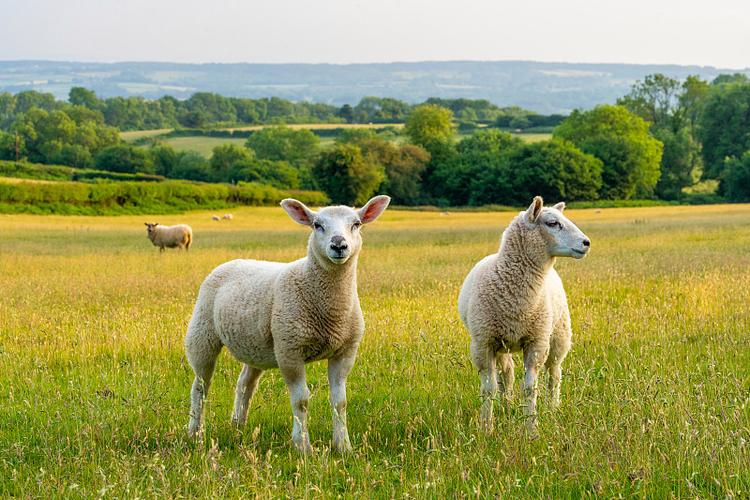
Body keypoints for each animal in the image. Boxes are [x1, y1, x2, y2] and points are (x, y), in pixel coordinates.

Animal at [187, 194, 394, 454]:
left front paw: (343, 446)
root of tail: (231, 262)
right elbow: (301, 400)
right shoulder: (289, 350)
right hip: (202, 332)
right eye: (317, 225)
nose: (339, 245)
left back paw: (238, 427)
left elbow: (340, 402)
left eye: (356, 224)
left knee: (245, 384)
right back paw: (195, 433)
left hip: (256, 345)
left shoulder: (345, 352)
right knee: (200, 386)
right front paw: (302, 446)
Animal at [458, 197, 592, 432]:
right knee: (507, 374)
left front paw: (531, 428)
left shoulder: (536, 343)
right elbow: (489, 389)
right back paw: (507, 406)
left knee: (554, 374)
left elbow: (530, 388)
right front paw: (487, 427)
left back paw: (553, 407)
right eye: (552, 223)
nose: (586, 243)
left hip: (559, 334)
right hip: (502, 344)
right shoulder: (483, 344)